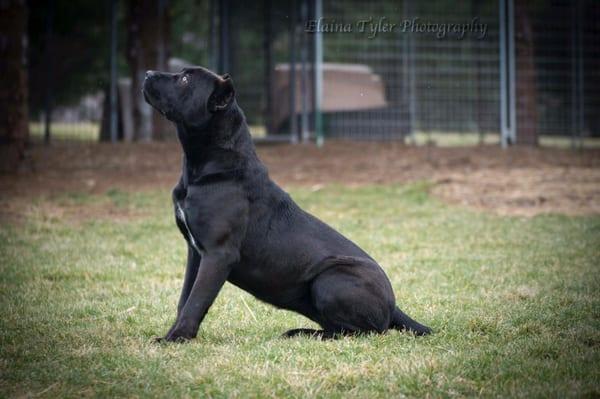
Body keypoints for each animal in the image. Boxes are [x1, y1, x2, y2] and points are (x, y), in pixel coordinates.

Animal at [142, 67, 428, 342]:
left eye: (185, 79)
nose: (147, 74)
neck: (207, 163)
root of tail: (394, 306)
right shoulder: (195, 252)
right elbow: (185, 299)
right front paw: (174, 334)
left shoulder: (218, 253)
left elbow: (196, 301)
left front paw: (176, 338)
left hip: (329, 279)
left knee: (361, 332)